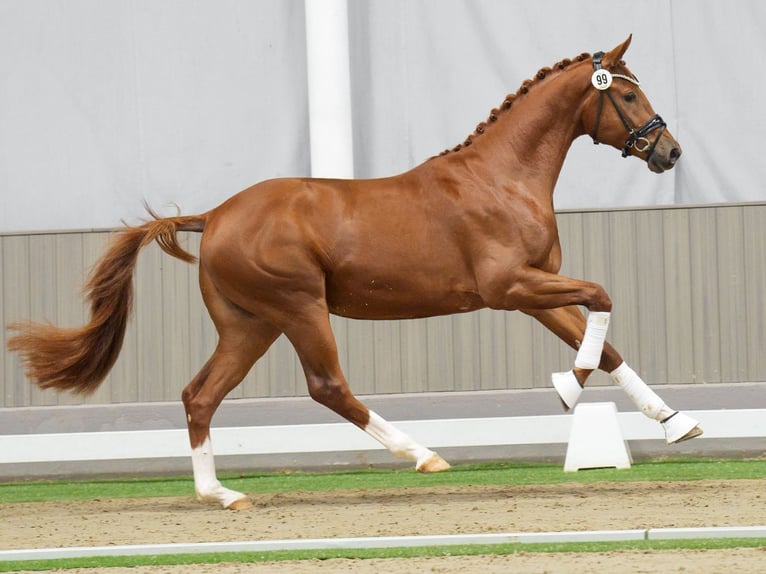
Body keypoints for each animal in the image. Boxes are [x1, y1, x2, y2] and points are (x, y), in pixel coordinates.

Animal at [7, 38, 704, 510]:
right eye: (628, 92)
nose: (669, 152)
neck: (501, 177)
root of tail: (216, 215)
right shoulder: (509, 288)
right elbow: (602, 300)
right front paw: (566, 387)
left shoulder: (534, 291)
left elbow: (605, 342)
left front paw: (675, 423)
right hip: (298, 309)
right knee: (327, 387)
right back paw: (424, 455)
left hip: (250, 325)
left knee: (200, 395)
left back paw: (222, 495)